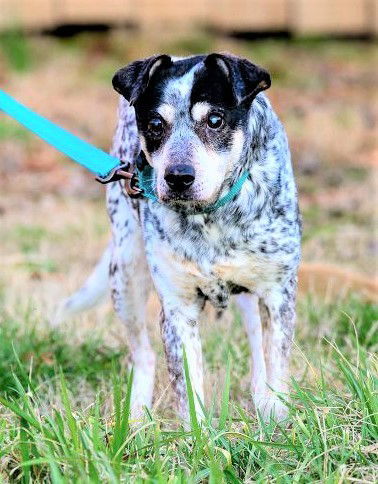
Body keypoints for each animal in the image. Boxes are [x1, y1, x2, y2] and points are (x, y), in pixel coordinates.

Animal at [56, 54, 302, 424]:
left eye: (215, 120)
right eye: (155, 124)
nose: (178, 177)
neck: (212, 217)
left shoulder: (277, 294)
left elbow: (276, 365)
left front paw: (275, 419)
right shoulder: (177, 307)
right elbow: (188, 388)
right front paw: (198, 436)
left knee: (256, 339)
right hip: (125, 273)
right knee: (143, 354)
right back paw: (135, 418)